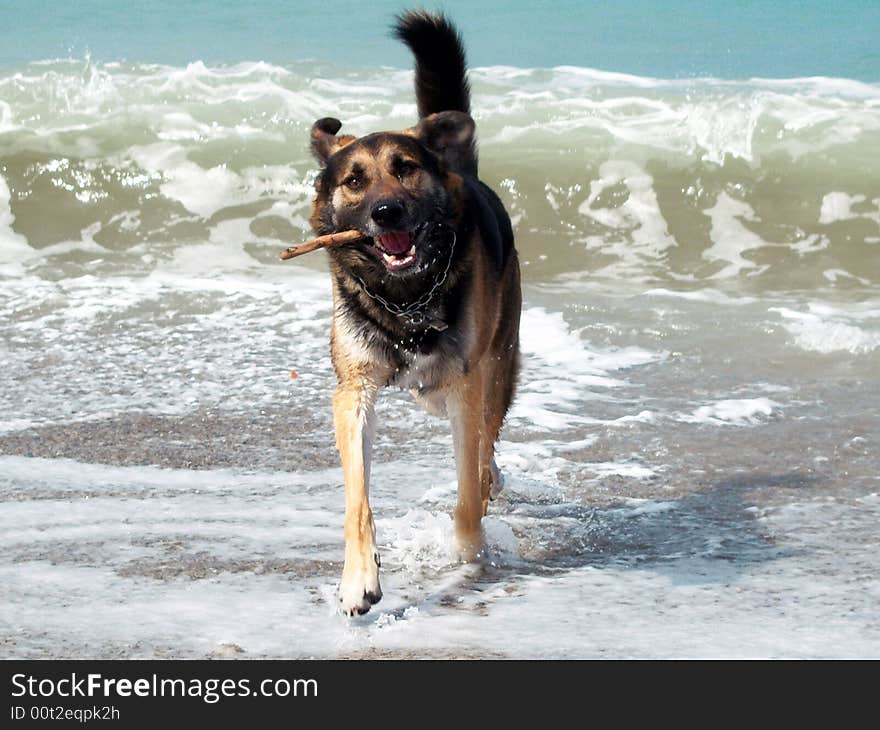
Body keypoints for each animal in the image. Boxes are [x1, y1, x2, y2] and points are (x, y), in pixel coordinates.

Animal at [306, 11, 520, 616]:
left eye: (404, 169)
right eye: (354, 180)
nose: (386, 212)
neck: (406, 297)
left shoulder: (467, 385)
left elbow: (468, 493)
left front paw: (470, 556)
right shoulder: (353, 392)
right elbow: (357, 499)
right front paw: (359, 579)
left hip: (496, 366)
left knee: (486, 445)